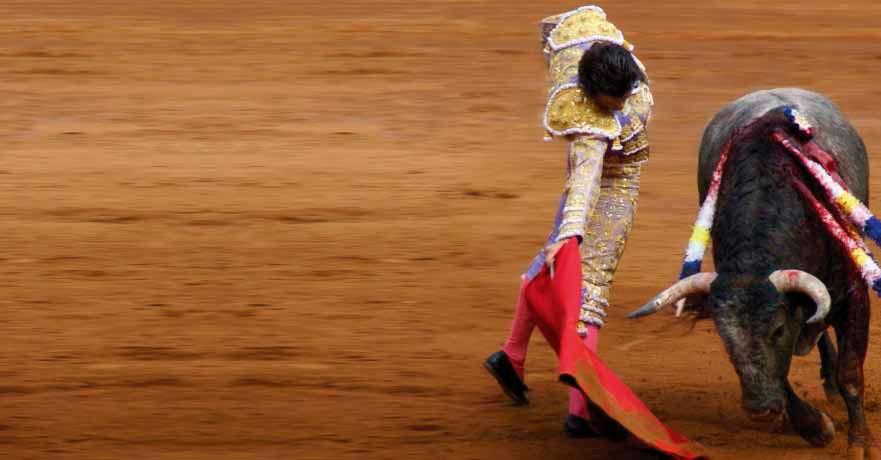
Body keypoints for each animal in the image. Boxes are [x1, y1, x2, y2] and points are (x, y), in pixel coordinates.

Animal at [632, 88, 872, 458]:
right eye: (724, 339)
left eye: (777, 329)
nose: (759, 410)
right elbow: (781, 376)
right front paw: (816, 428)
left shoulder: (854, 293)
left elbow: (850, 372)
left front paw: (858, 444)